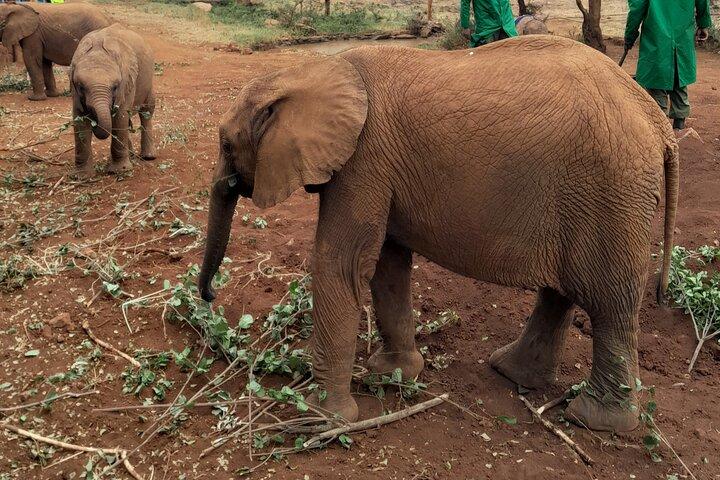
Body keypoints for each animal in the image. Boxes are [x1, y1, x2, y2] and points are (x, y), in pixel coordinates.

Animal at [70, 23, 157, 175]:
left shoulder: (127, 81)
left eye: (115, 87)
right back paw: (131, 156)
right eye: (81, 86)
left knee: (146, 112)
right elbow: (79, 119)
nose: (95, 121)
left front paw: (119, 171)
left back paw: (148, 157)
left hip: (148, 81)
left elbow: (120, 116)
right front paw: (82, 176)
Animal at [197, 36, 679, 432]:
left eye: (226, 145)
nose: (209, 297)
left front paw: (321, 418)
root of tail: (656, 120)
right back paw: (511, 373)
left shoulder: (364, 159)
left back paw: (594, 420)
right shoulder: (381, 168)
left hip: (612, 192)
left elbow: (342, 264)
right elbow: (386, 264)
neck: (312, 71)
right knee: (563, 293)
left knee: (610, 305)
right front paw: (392, 374)